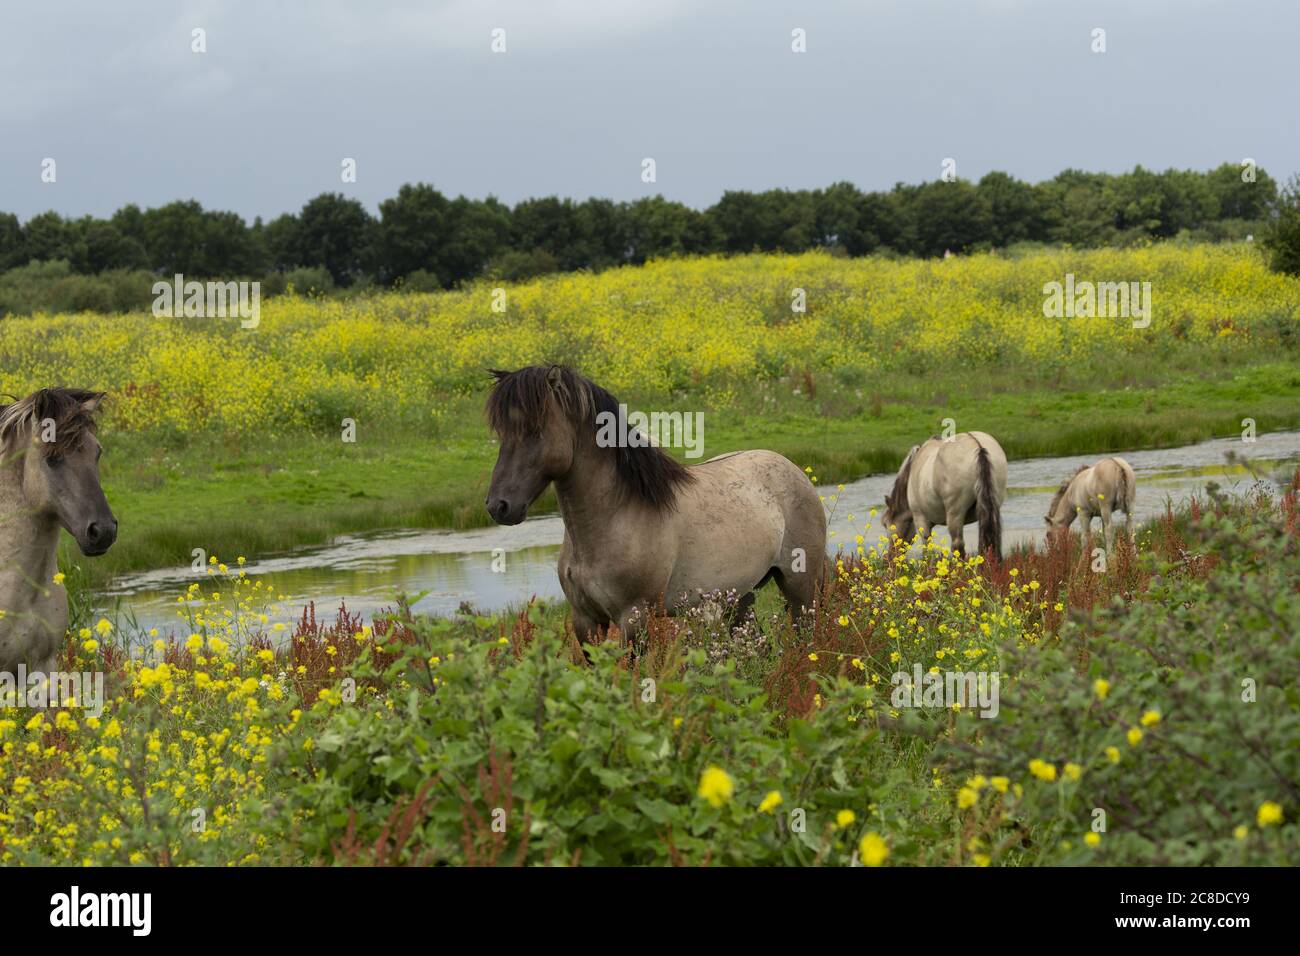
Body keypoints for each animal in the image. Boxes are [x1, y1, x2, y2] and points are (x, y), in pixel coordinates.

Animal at [483, 364, 826, 642]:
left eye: (534, 430)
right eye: (500, 432)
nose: (499, 506)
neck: (617, 516)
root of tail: (794, 470)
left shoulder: (633, 619)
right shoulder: (585, 620)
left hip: (799, 587)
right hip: (741, 596)